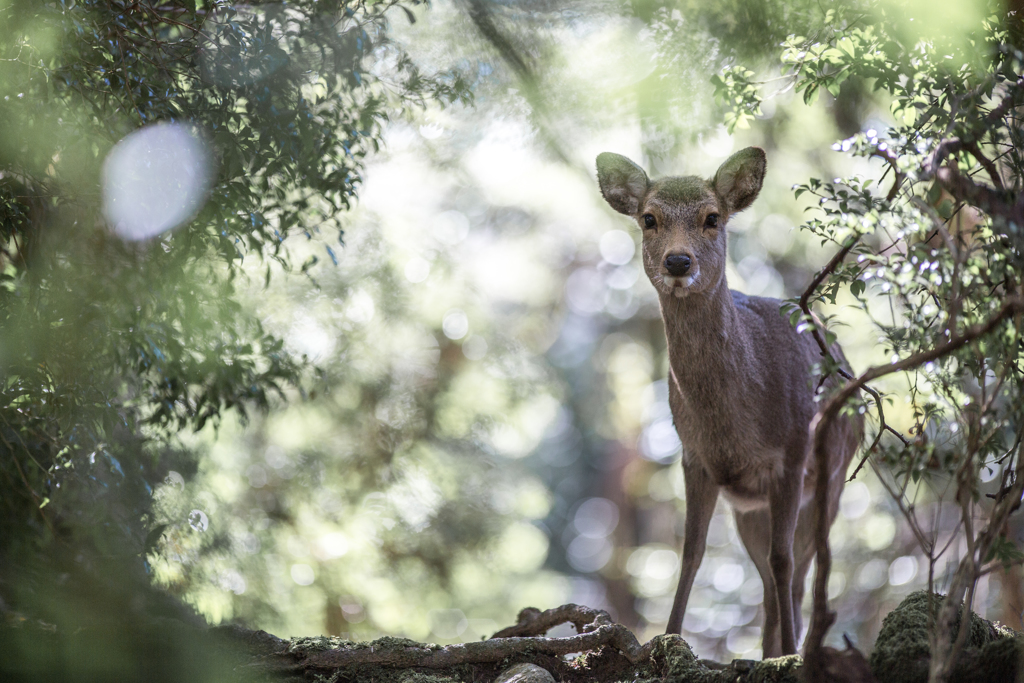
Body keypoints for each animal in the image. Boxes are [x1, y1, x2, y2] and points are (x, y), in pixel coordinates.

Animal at [593, 148, 864, 655]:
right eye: (649, 218)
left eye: (712, 217)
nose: (679, 261)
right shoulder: (694, 457)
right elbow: (690, 553)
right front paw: (667, 638)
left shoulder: (793, 450)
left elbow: (783, 561)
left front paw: (790, 657)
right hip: (749, 510)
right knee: (769, 583)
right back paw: (769, 650)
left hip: (833, 479)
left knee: (800, 571)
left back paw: (791, 648)